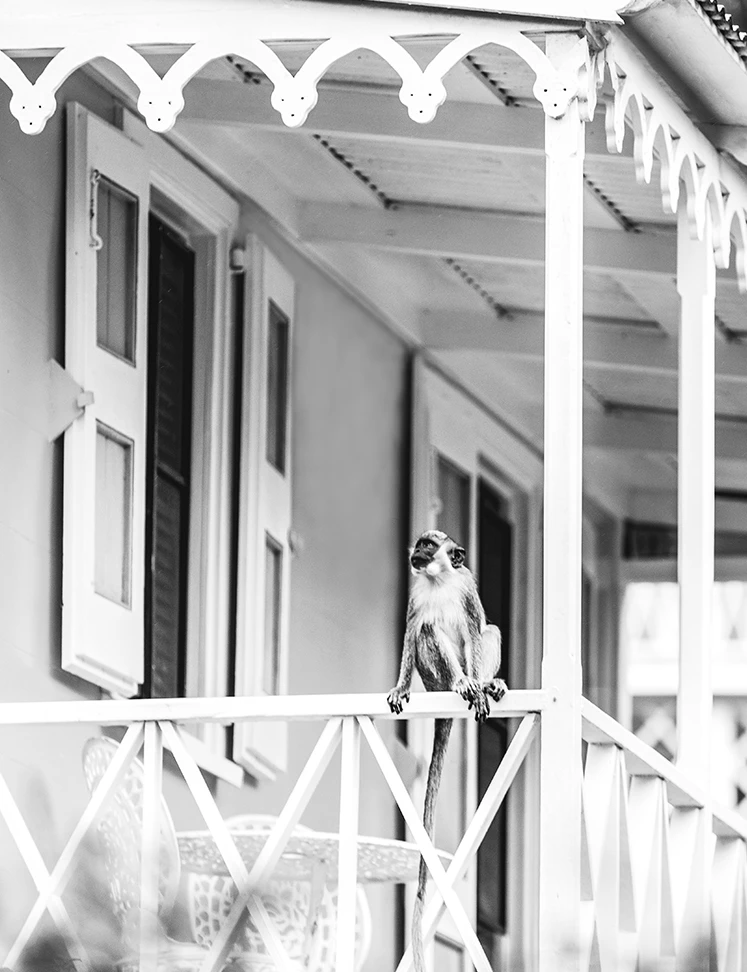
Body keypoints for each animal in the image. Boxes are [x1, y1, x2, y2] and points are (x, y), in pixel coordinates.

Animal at [387, 529, 506, 972]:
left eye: (428, 545)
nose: (415, 554)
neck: (439, 579)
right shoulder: (417, 592)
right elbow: (412, 632)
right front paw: (400, 686)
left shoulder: (466, 585)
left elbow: (474, 631)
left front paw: (481, 686)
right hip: (432, 677)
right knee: (427, 629)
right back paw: (459, 684)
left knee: (488, 632)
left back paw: (483, 685)